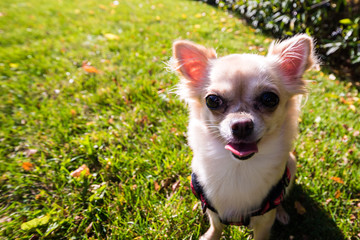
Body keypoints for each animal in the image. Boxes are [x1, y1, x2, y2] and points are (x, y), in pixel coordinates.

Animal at [171, 34, 316, 240]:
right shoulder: (214, 210)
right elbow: (216, 226)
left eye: (269, 99)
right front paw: (210, 236)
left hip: (292, 164)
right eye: (212, 100)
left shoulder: (264, 221)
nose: (241, 125)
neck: (238, 167)